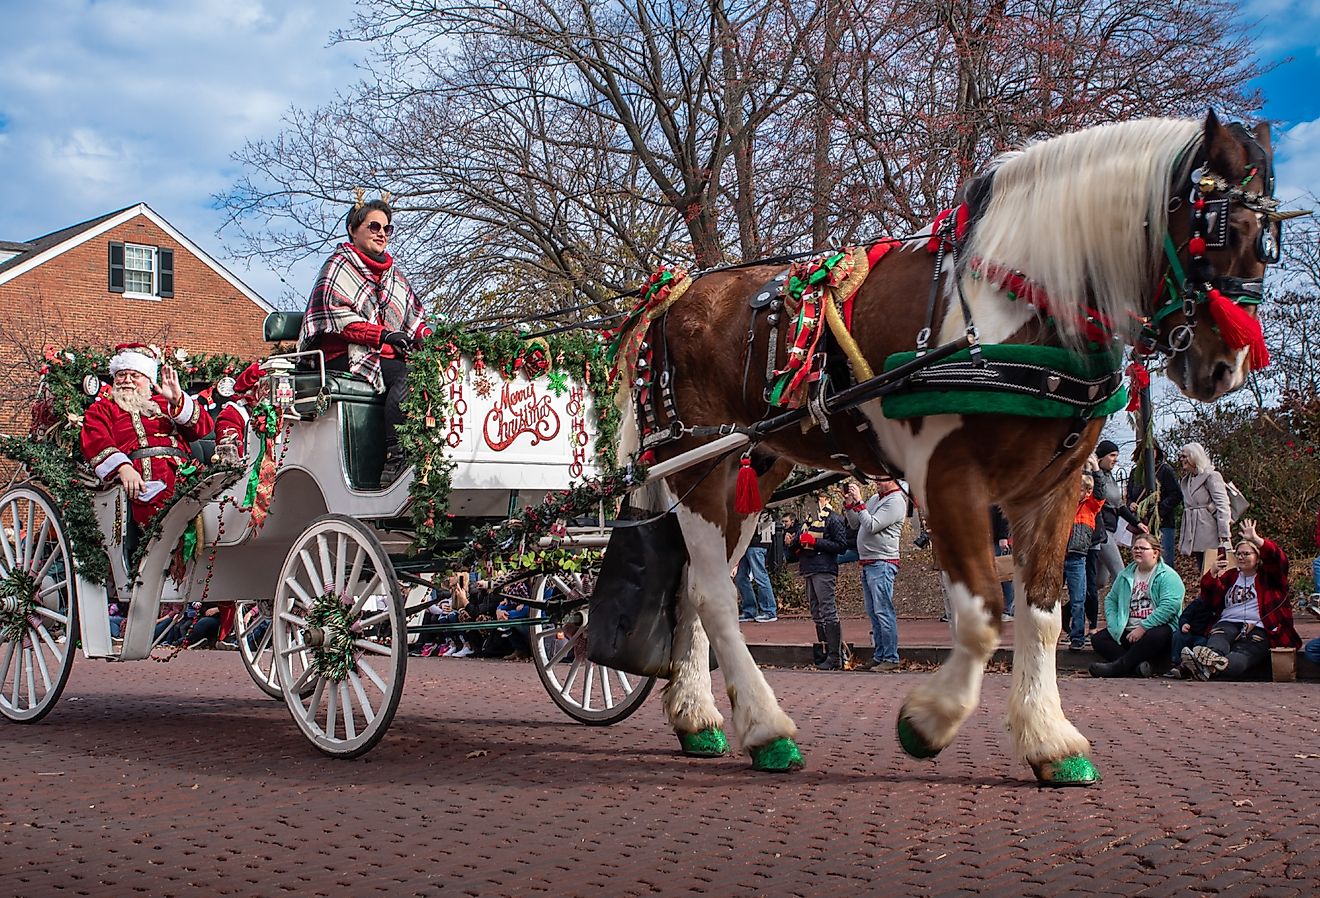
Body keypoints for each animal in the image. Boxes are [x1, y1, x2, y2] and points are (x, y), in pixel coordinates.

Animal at [612, 114, 1293, 787]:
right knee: (714, 595)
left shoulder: (1052, 487)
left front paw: (1049, 739)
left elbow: (1041, 615)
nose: (1227, 365)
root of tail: (672, 295)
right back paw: (766, 729)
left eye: (1271, 239)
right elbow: (984, 612)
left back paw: (698, 718)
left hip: (751, 468)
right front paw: (929, 721)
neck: (1018, 305)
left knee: (697, 587)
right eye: (1216, 226)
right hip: (700, 463)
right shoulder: (946, 476)